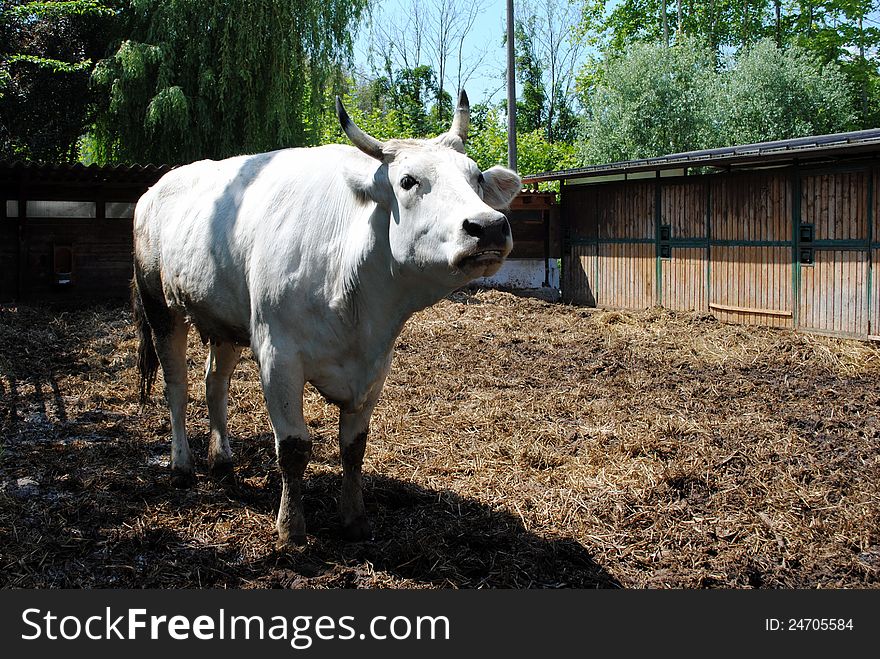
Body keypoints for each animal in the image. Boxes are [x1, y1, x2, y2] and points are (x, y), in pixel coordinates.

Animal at [131, 93, 524, 548]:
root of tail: (154, 189)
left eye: (476, 177)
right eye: (408, 181)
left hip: (226, 322)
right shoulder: (278, 356)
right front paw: (291, 527)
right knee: (176, 387)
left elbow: (354, 446)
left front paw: (354, 518)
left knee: (215, 384)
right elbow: (294, 448)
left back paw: (222, 459)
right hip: (160, 307)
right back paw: (181, 466)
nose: (489, 226)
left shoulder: (375, 366)